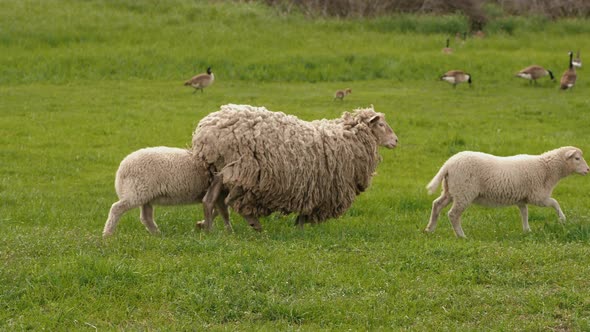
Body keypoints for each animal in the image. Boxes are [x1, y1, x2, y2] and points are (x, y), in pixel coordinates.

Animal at [102, 147, 231, 237]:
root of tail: (121, 168)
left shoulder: (220, 194)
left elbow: (218, 211)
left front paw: (203, 224)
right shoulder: (220, 193)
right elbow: (223, 212)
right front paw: (228, 231)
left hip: (146, 196)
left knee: (146, 217)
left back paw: (158, 235)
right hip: (136, 192)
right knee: (116, 208)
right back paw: (107, 235)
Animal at [192, 104, 400, 231]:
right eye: (381, 124)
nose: (396, 140)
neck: (347, 138)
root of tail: (206, 131)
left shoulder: (311, 188)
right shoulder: (319, 189)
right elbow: (305, 213)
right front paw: (300, 230)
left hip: (222, 170)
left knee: (212, 200)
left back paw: (211, 227)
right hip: (242, 170)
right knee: (229, 201)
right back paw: (252, 224)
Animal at [428, 147, 588, 237]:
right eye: (577, 158)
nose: (588, 170)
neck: (547, 168)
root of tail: (448, 164)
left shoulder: (522, 199)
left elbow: (524, 213)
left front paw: (527, 231)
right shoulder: (537, 196)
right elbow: (555, 202)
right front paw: (562, 219)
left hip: (451, 190)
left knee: (437, 204)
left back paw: (430, 229)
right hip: (464, 191)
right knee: (453, 214)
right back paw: (461, 235)